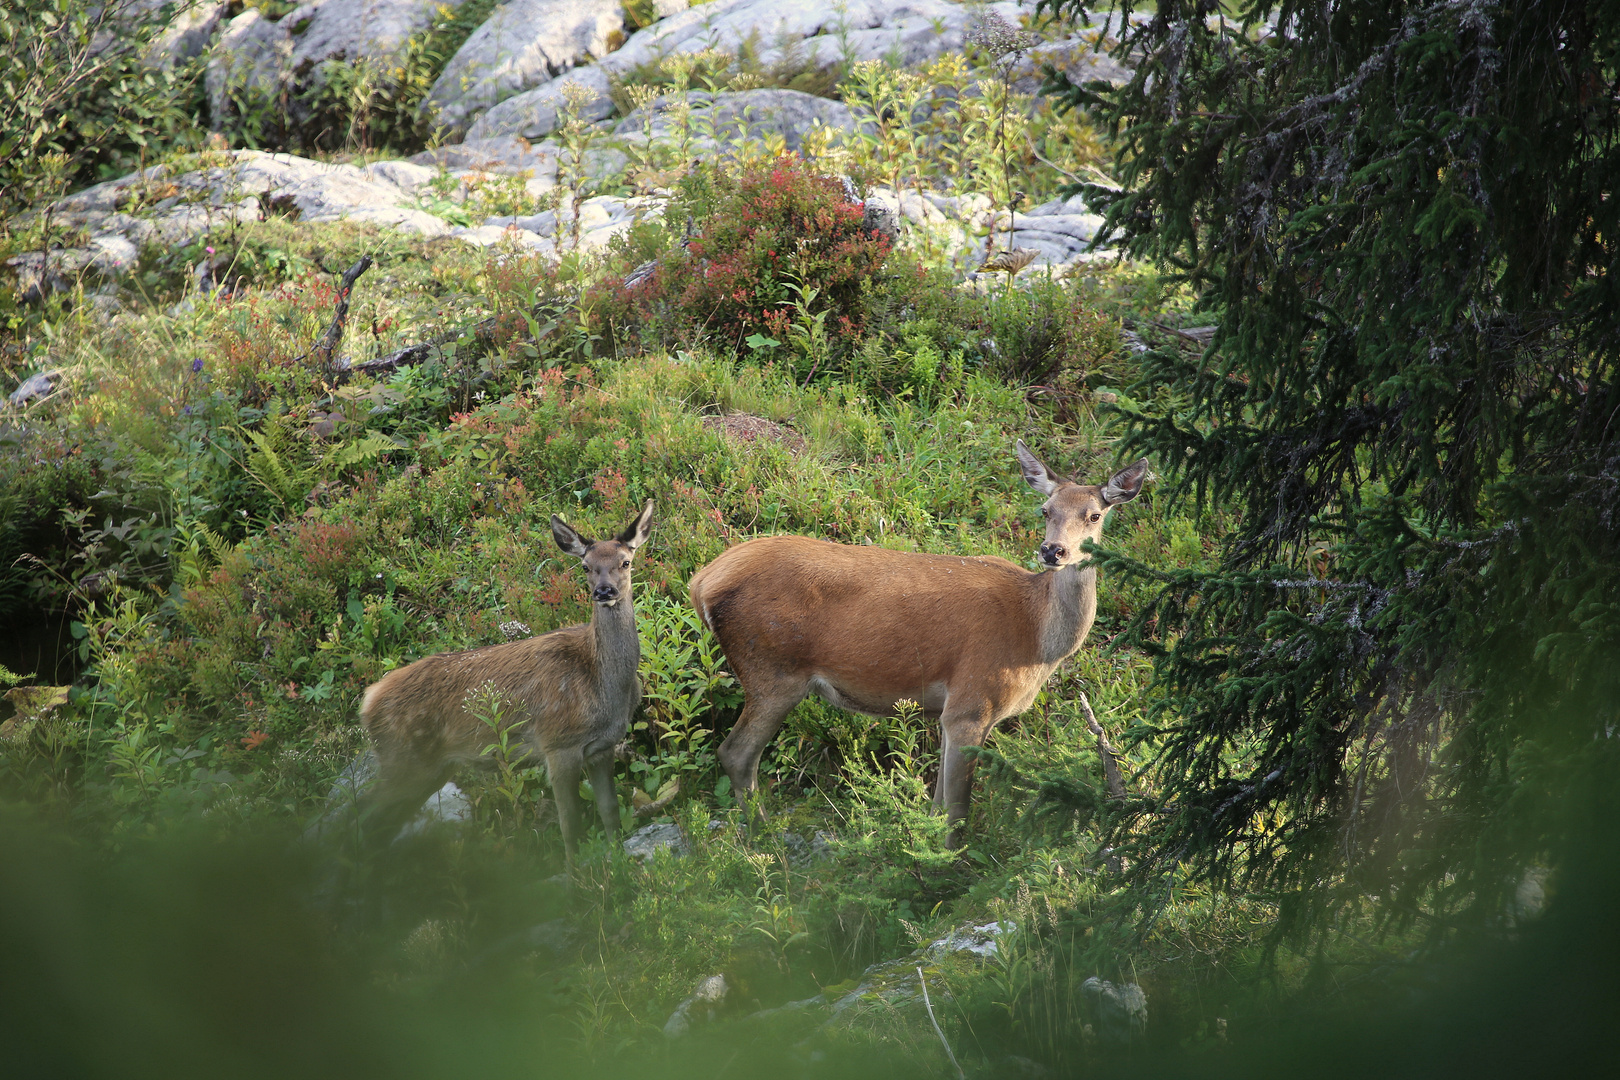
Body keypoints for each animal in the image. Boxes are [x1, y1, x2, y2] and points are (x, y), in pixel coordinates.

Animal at [358, 501, 654, 867]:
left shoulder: (602, 747)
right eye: (586, 566)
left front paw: (619, 861)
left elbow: (610, 811)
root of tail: (368, 699)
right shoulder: (557, 744)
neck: (603, 684)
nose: (604, 591)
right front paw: (576, 874)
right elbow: (571, 824)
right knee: (365, 815)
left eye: (625, 562)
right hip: (402, 758)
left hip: (428, 767)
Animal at [690, 446, 1146, 841]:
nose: (1053, 551)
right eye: (1045, 510)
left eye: (1094, 514)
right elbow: (957, 809)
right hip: (772, 670)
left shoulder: (950, 713)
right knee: (736, 753)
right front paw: (947, 867)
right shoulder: (972, 701)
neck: (1036, 638)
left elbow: (938, 803)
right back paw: (763, 835)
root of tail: (702, 583)